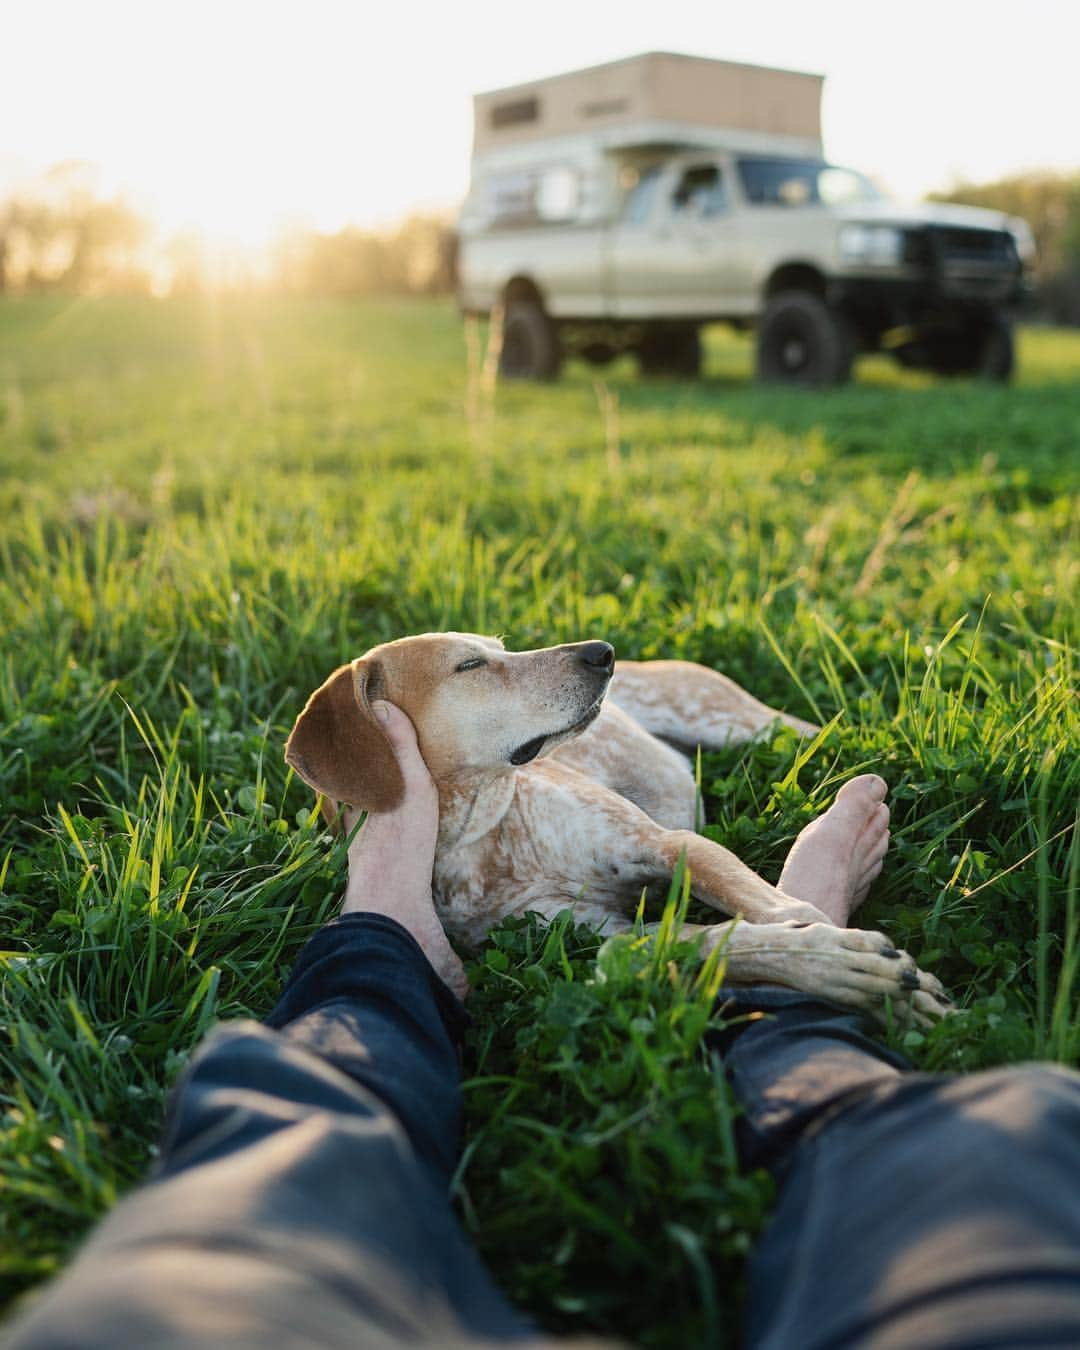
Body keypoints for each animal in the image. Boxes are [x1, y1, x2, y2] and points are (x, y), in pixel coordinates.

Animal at [282, 631, 950, 1020]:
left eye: (499, 646)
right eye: (469, 664)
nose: (601, 653)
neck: (482, 835)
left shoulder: (671, 845)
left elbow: (776, 907)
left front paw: (836, 945)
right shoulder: (592, 931)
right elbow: (710, 940)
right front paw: (841, 966)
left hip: (746, 725)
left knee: (822, 731)